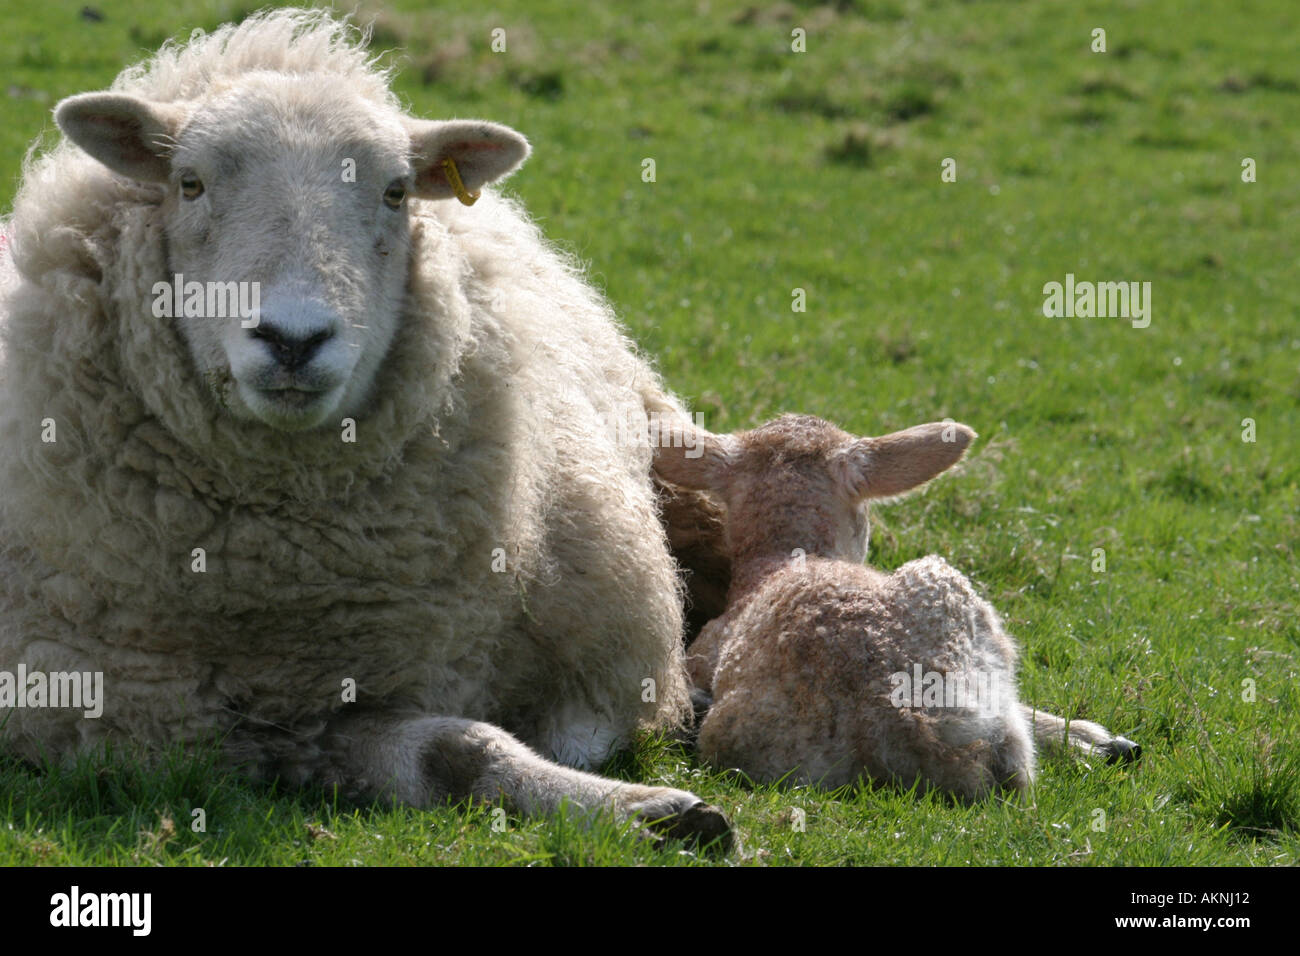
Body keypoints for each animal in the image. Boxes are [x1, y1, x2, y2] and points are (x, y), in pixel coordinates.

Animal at [0, 9, 729, 846]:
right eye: (190, 183)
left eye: (395, 190)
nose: (293, 339)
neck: (282, 585)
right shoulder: (190, 729)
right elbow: (453, 751)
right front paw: (644, 808)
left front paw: (648, 803)